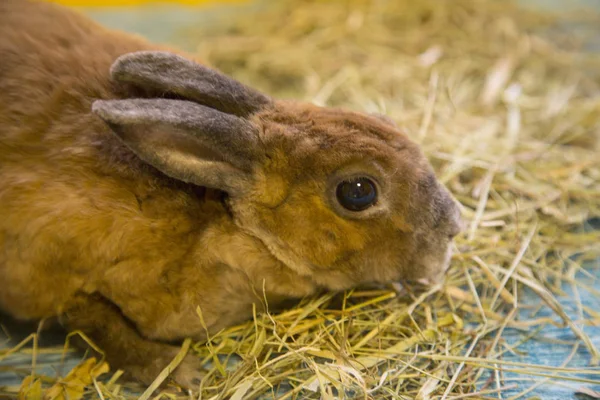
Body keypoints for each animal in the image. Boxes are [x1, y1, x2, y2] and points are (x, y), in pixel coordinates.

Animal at [0, 0, 464, 390]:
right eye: (357, 192)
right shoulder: (48, 275)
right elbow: (95, 324)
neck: (221, 213)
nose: (454, 226)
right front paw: (180, 373)